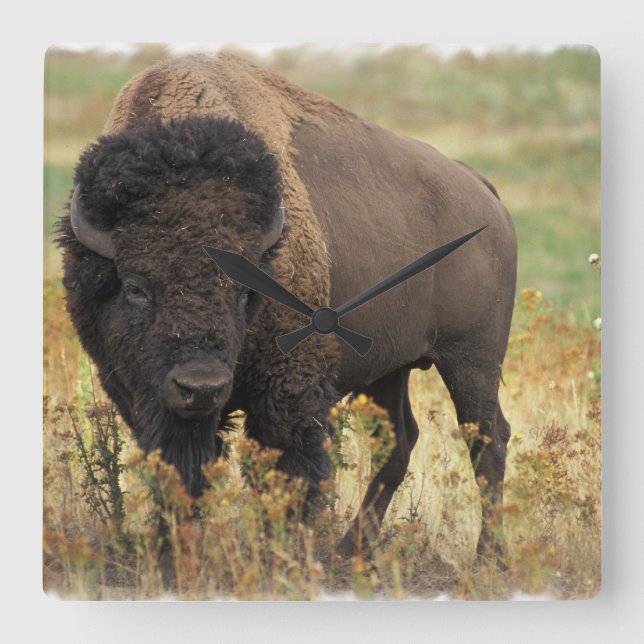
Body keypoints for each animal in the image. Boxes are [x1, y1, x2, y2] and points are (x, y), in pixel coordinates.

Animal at [58, 53, 517, 558]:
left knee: (487, 439)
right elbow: (179, 470)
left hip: (472, 360)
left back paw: (487, 556)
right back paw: (350, 552)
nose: (201, 387)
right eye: (136, 287)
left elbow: (288, 471)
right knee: (400, 441)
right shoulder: (138, 393)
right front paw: (173, 550)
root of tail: (483, 192)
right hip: (390, 367)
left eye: (243, 292)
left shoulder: (289, 390)